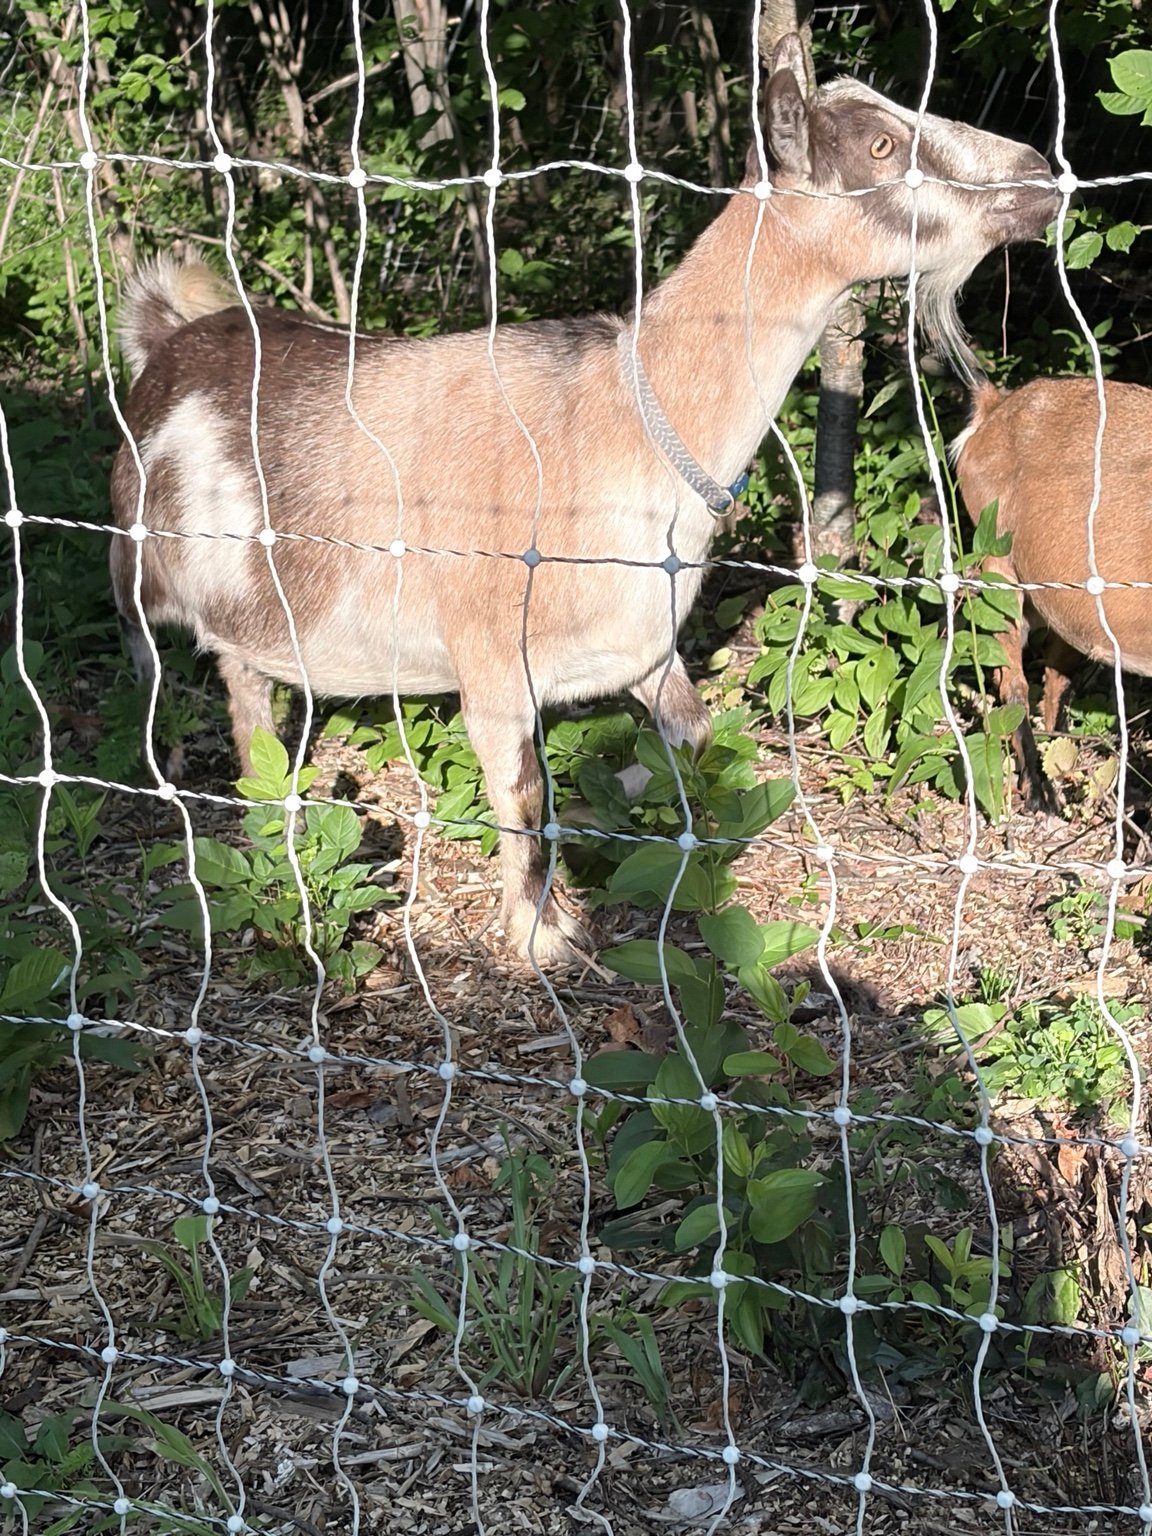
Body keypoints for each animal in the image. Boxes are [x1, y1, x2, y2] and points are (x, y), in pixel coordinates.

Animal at [110, 35, 1057, 965]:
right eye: (881, 145)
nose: (1040, 174)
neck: (621, 420)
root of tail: (168, 340)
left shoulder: (642, 647)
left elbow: (694, 741)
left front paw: (611, 812)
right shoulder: (492, 659)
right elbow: (524, 790)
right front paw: (541, 933)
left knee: (246, 693)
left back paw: (267, 801)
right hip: (134, 569)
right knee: (147, 659)